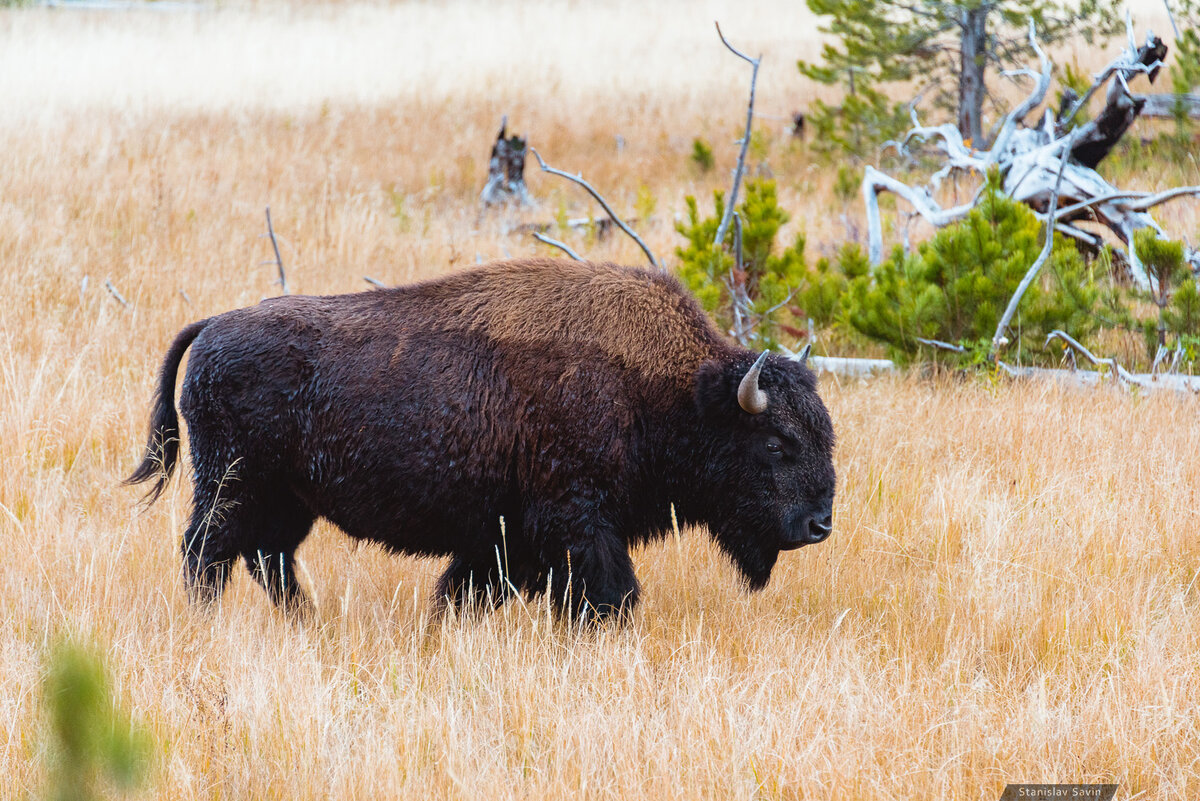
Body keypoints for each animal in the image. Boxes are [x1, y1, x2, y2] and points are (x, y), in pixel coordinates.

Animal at [124, 261, 835, 618]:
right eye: (776, 443)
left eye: (823, 434)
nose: (819, 524)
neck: (670, 389)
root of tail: (214, 325)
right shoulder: (578, 521)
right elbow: (607, 591)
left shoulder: (509, 534)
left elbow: (472, 586)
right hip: (233, 484)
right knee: (208, 551)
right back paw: (211, 620)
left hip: (289, 500)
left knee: (267, 557)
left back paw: (305, 620)